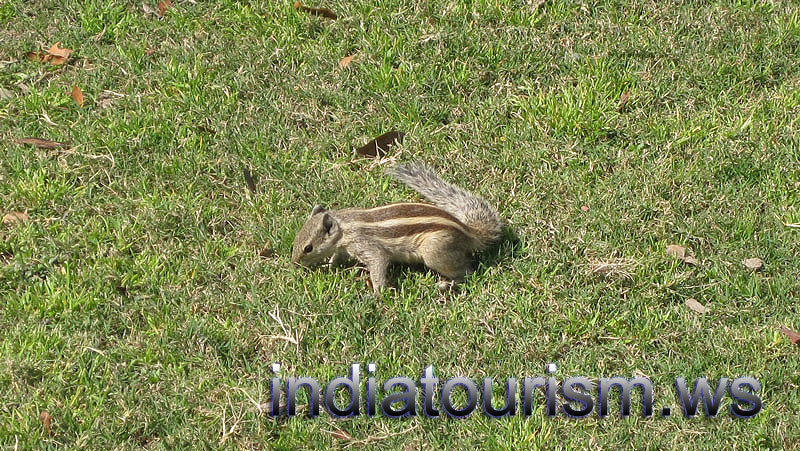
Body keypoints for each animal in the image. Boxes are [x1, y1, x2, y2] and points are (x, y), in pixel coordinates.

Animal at [291, 162, 503, 293]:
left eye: (308, 248)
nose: (294, 263)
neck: (344, 224)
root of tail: (468, 232)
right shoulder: (344, 248)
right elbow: (336, 257)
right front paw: (329, 265)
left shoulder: (365, 245)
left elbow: (378, 262)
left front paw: (377, 293)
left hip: (435, 251)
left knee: (467, 270)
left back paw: (446, 284)